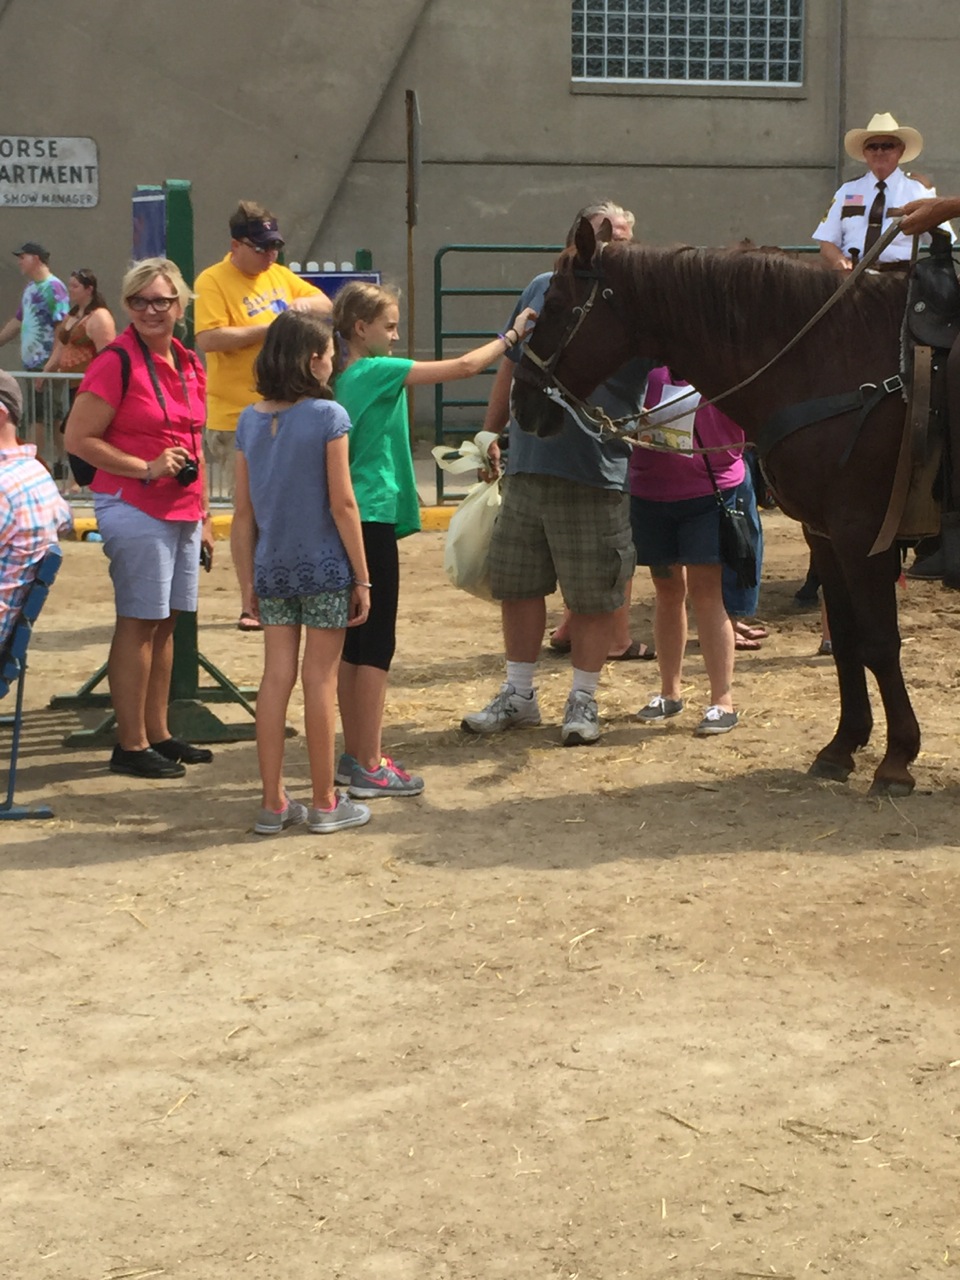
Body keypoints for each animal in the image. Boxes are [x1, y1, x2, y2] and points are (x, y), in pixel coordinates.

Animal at [512, 216, 924, 796]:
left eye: (554, 304)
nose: (521, 402)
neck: (832, 360)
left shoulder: (861, 534)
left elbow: (881, 642)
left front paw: (897, 759)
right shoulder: (824, 534)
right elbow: (846, 641)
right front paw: (842, 746)